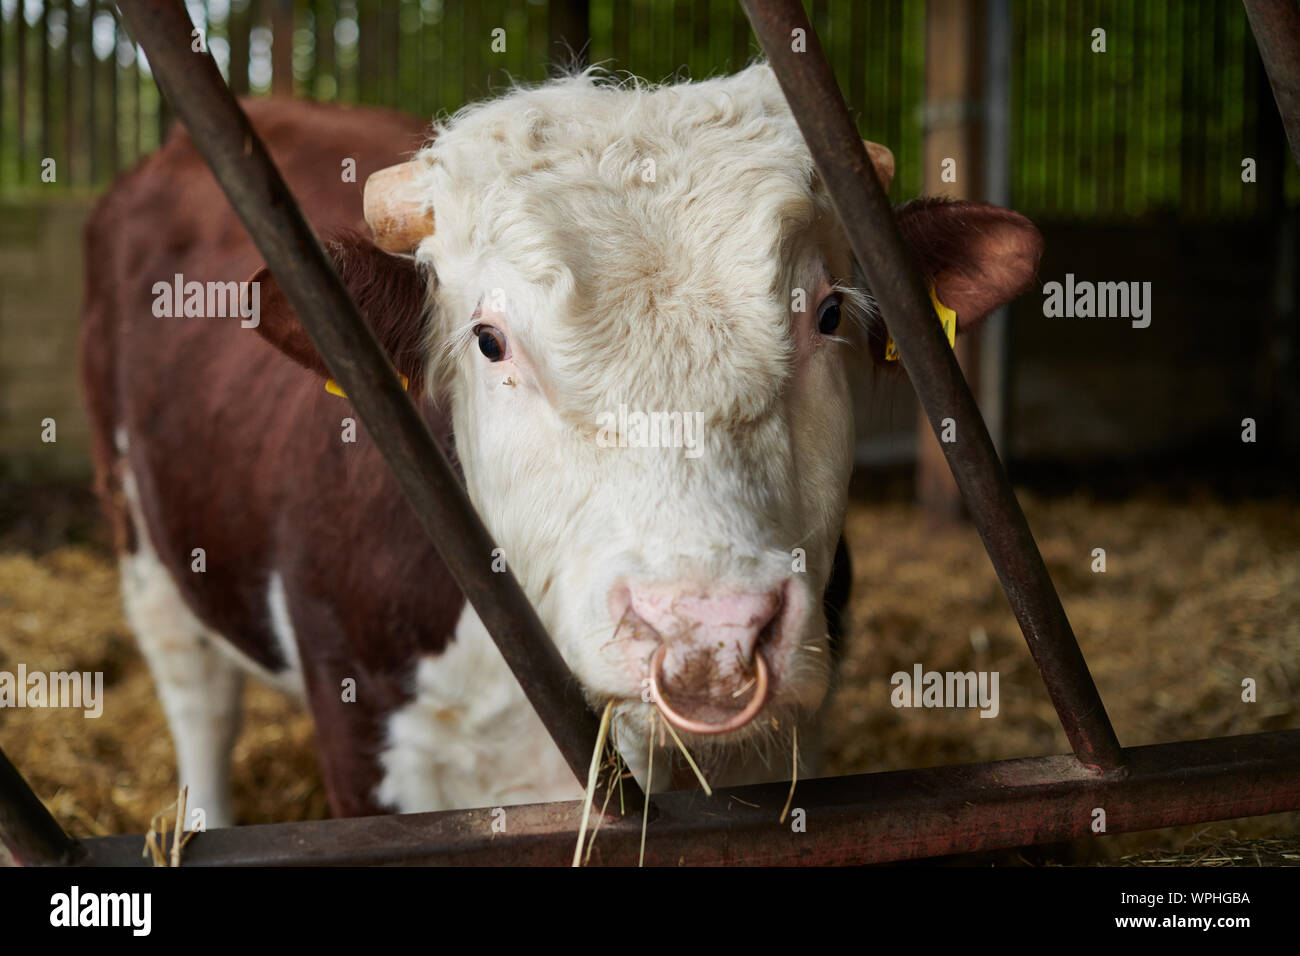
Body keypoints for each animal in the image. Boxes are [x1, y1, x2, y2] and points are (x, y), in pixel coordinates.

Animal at [80, 64, 1042, 827]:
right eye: (488, 341)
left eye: (831, 312)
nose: (709, 633)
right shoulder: (370, 744)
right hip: (141, 538)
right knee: (198, 699)